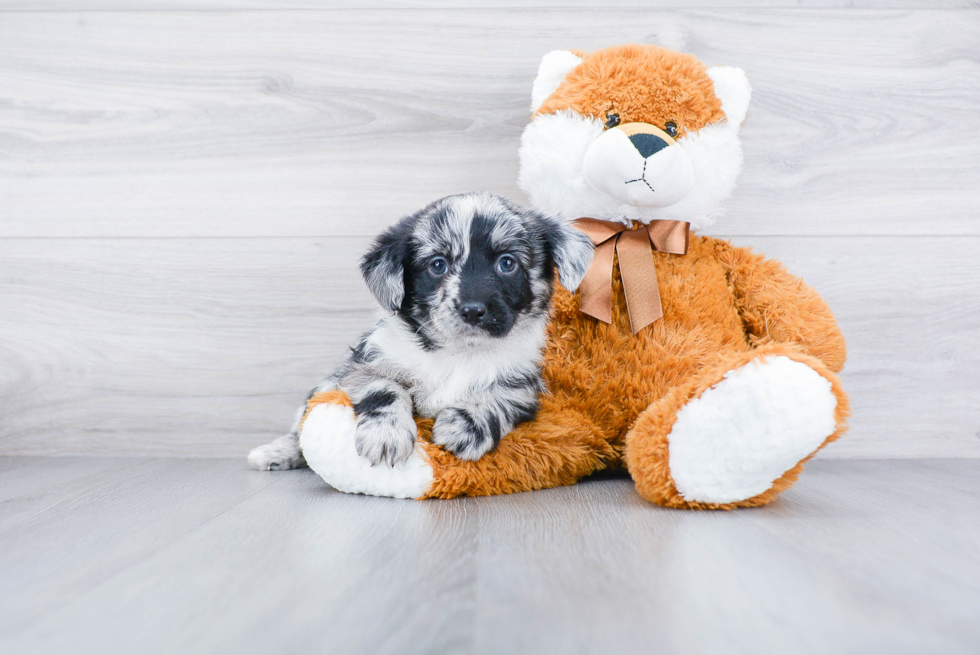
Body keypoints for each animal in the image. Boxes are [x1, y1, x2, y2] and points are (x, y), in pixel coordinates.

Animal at [249, 191, 592, 472]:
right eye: (437, 265)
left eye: (507, 263)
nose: (473, 310)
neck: (457, 353)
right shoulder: (362, 366)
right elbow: (385, 389)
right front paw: (386, 436)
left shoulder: (522, 386)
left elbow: (495, 398)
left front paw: (467, 426)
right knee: (299, 429)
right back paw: (275, 453)